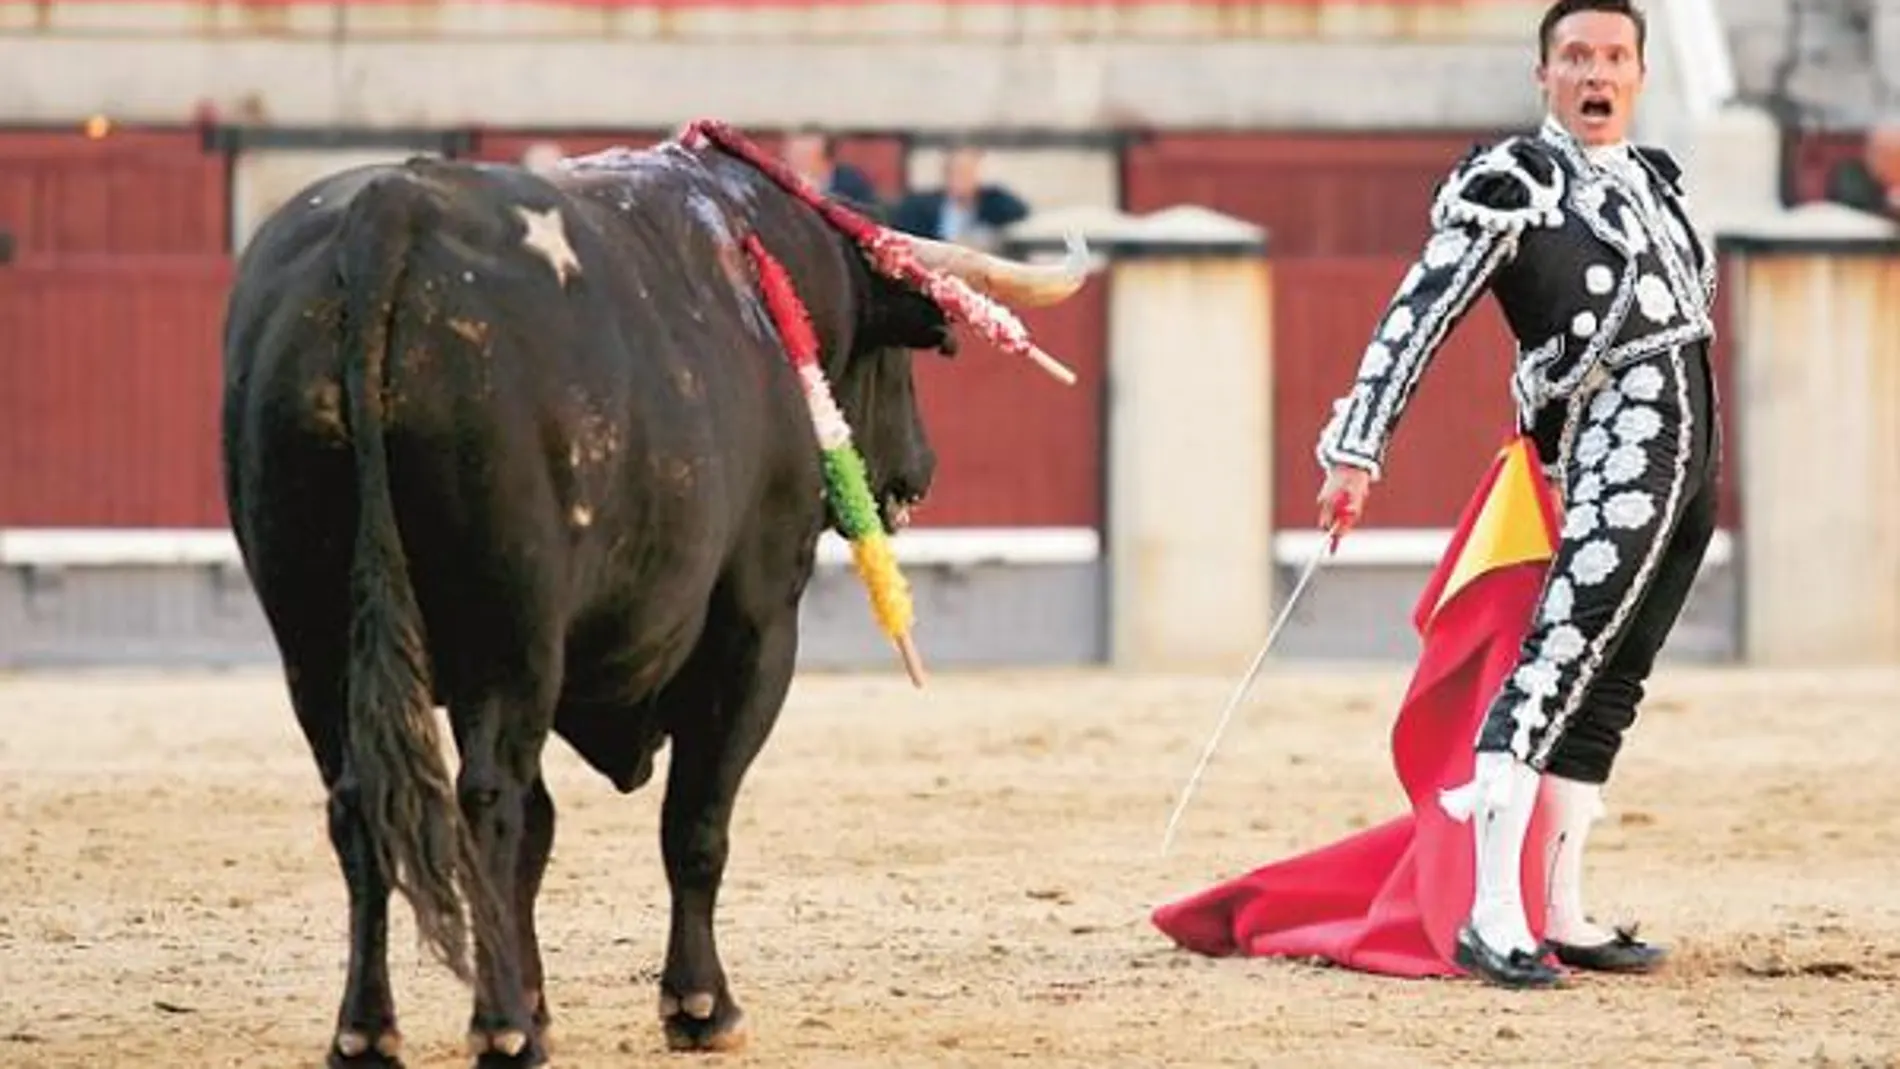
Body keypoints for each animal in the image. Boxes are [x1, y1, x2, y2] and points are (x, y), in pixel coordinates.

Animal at [220, 121, 1086, 1063]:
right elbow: (694, 818)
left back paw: (369, 1028)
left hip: (314, 638)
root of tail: (389, 214)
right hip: (510, 636)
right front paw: (700, 1005)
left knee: (360, 800)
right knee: (488, 796)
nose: (919, 472)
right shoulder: (754, 628)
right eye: (901, 353)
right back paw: (500, 1026)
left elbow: (547, 828)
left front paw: (545, 998)